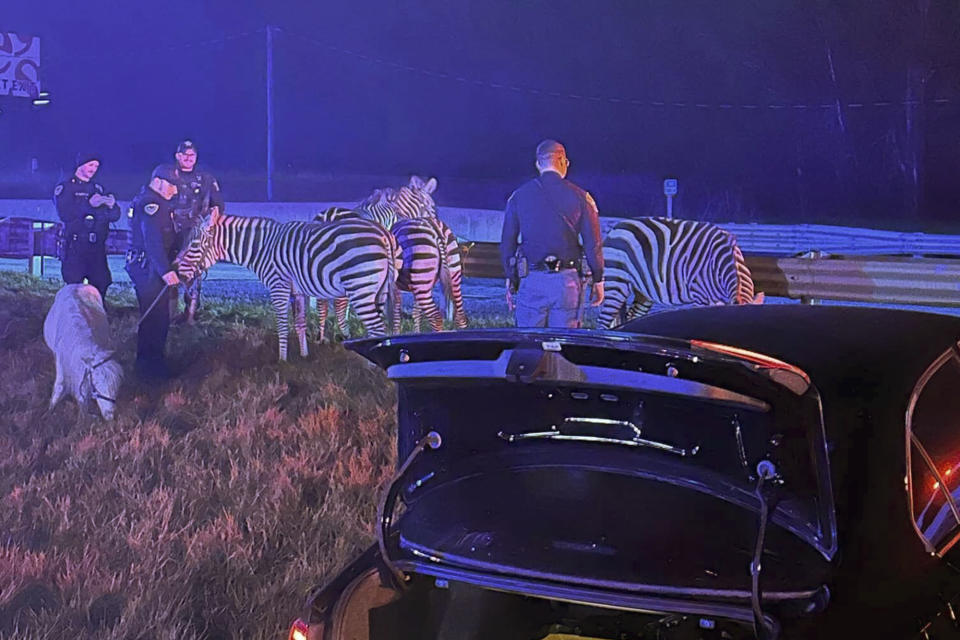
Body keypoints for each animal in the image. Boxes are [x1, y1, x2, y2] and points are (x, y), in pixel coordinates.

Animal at [43, 284, 123, 420]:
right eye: (96, 384)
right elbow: (59, 387)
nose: (110, 415)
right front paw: (48, 412)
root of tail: (79, 284)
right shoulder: (61, 363)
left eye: (116, 386)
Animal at [176, 210, 398, 360]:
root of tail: (382, 232)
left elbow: (282, 324)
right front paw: (304, 356)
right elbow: (299, 323)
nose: (177, 272)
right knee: (379, 329)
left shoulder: (278, 286)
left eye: (194, 244)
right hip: (379, 292)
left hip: (361, 289)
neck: (262, 247)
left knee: (377, 328)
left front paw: (282, 359)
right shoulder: (297, 292)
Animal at [600, 219, 764, 330]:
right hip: (616, 281)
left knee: (630, 316)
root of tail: (616, 227)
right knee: (604, 320)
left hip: (641, 291)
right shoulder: (700, 297)